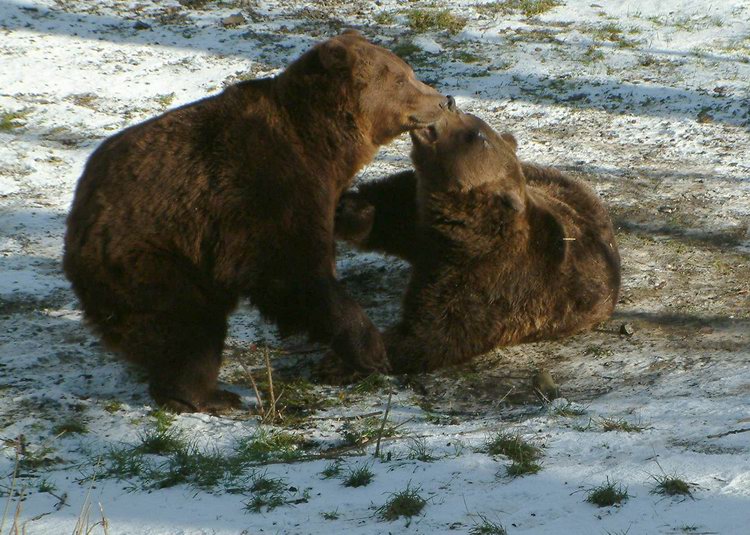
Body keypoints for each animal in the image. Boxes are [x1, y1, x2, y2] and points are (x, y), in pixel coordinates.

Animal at [63, 31, 452, 412]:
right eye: (401, 78)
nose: (444, 99)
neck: (325, 145)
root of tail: (78, 220)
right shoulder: (261, 188)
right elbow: (293, 271)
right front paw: (369, 349)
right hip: (151, 254)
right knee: (189, 325)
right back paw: (205, 395)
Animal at [336, 111, 624, 374]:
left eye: (473, 134)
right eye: (469, 117)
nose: (450, 102)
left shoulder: (491, 280)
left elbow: (435, 332)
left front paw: (360, 356)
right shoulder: (420, 219)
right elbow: (389, 210)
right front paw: (351, 209)